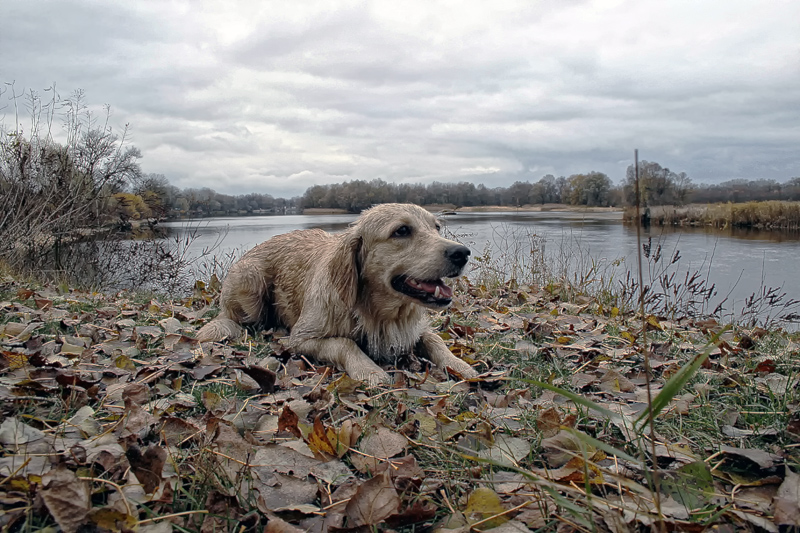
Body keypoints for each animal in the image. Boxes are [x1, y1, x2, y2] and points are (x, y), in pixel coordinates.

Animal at [197, 202, 478, 384]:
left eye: (436, 227)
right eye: (401, 231)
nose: (462, 253)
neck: (379, 314)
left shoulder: (417, 329)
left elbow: (436, 339)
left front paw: (461, 366)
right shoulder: (300, 338)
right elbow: (345, 343)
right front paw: (370, 371)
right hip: (250, 277)